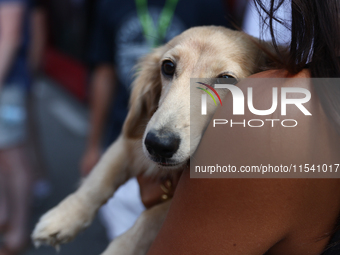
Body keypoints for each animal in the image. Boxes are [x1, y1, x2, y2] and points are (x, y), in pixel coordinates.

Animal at [31, 26, 266, 255]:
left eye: (226, 79)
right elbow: (98, 181)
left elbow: (151, 218)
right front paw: (63, 218)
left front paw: (121, 248)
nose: (158, 145)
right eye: (168, 67)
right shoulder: (129, 144)